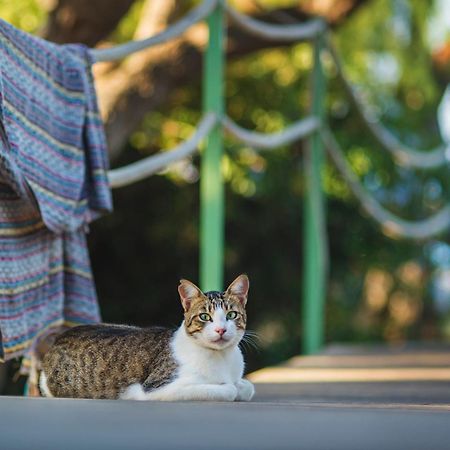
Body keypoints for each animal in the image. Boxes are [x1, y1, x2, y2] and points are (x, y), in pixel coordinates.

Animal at [39, 272, 253, 402]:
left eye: (231, 315)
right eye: (205, 317)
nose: (221, 330)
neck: (222, 357)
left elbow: (248, 387)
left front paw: (240, 386)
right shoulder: (158, 389)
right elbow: (228, 389)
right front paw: (230, 388)